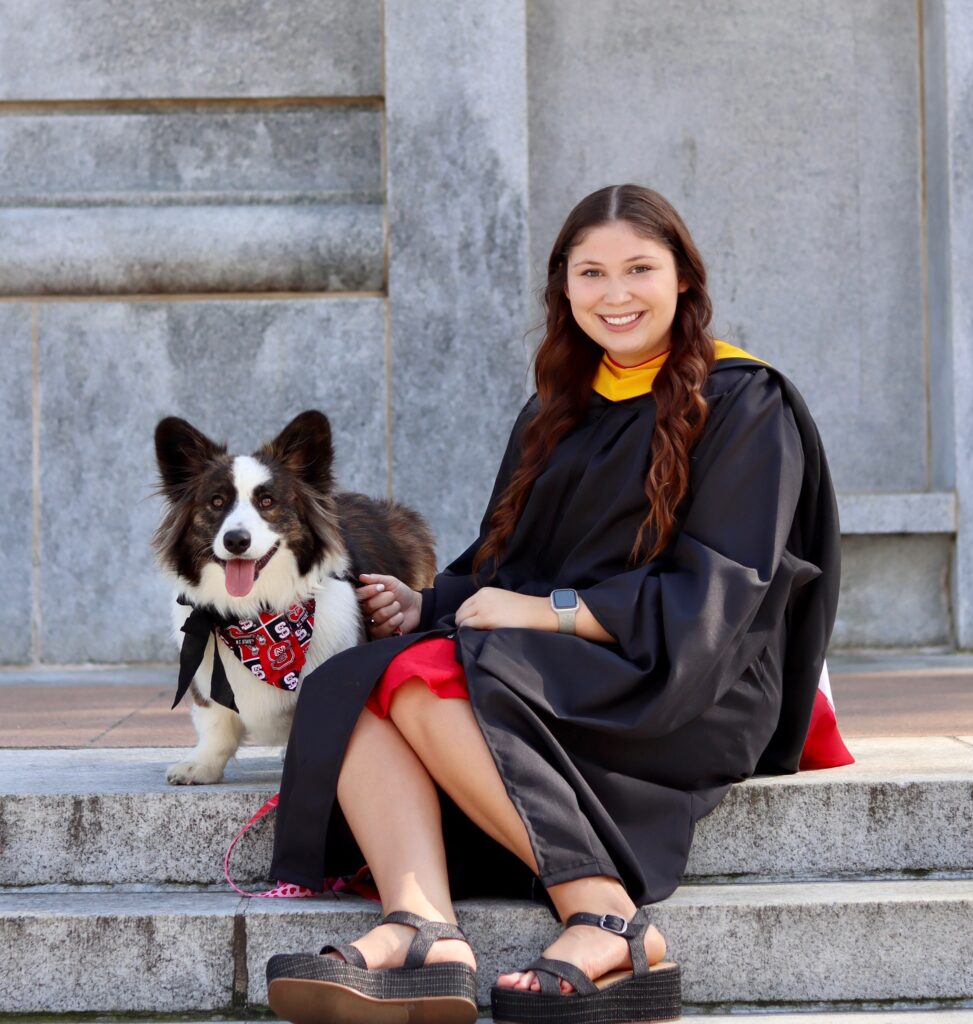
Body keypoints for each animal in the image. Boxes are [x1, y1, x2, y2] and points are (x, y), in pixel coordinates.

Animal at [152, 407, 434, 782]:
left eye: (267, 501)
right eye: (216, 502)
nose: (236, 540)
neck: (255, 619)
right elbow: (215, 722)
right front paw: (201, 765)